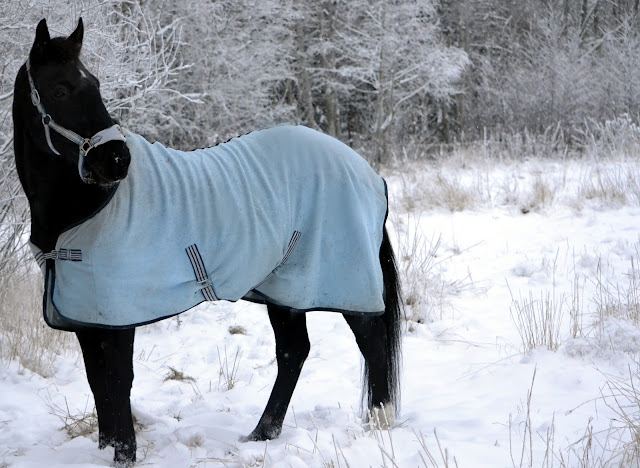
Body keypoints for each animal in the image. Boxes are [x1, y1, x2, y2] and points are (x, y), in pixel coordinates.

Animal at [12, 19, 402, 467]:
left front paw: (125, 453)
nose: (117, 161)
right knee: (293, 353)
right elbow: (97, 381)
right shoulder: (85, 316)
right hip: (287, 287)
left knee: (372, 346)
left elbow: (118, 380)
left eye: (94, 83)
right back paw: (263, 433)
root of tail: (369, 173)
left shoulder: (117, 315)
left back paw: (378, 426)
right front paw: (107, 447)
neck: (86, 208)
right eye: (60, 89)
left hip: (345, 284)